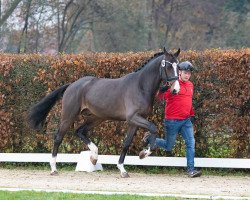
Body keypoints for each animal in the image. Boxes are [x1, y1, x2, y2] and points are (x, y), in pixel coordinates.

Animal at [28, 47, 181, 177]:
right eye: (168, 66)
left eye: (178, 67)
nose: (175, 89)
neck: (140, 86)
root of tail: (72, 85)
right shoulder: (133, 118)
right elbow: (153, 128)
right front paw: (144, 153)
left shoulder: (134, 122)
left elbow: (126, 143)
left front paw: (123, 169)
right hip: (68, 116)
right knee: (58, 137)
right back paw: (54, 168)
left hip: (96, 118)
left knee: (80, 131)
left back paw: (94, 157)